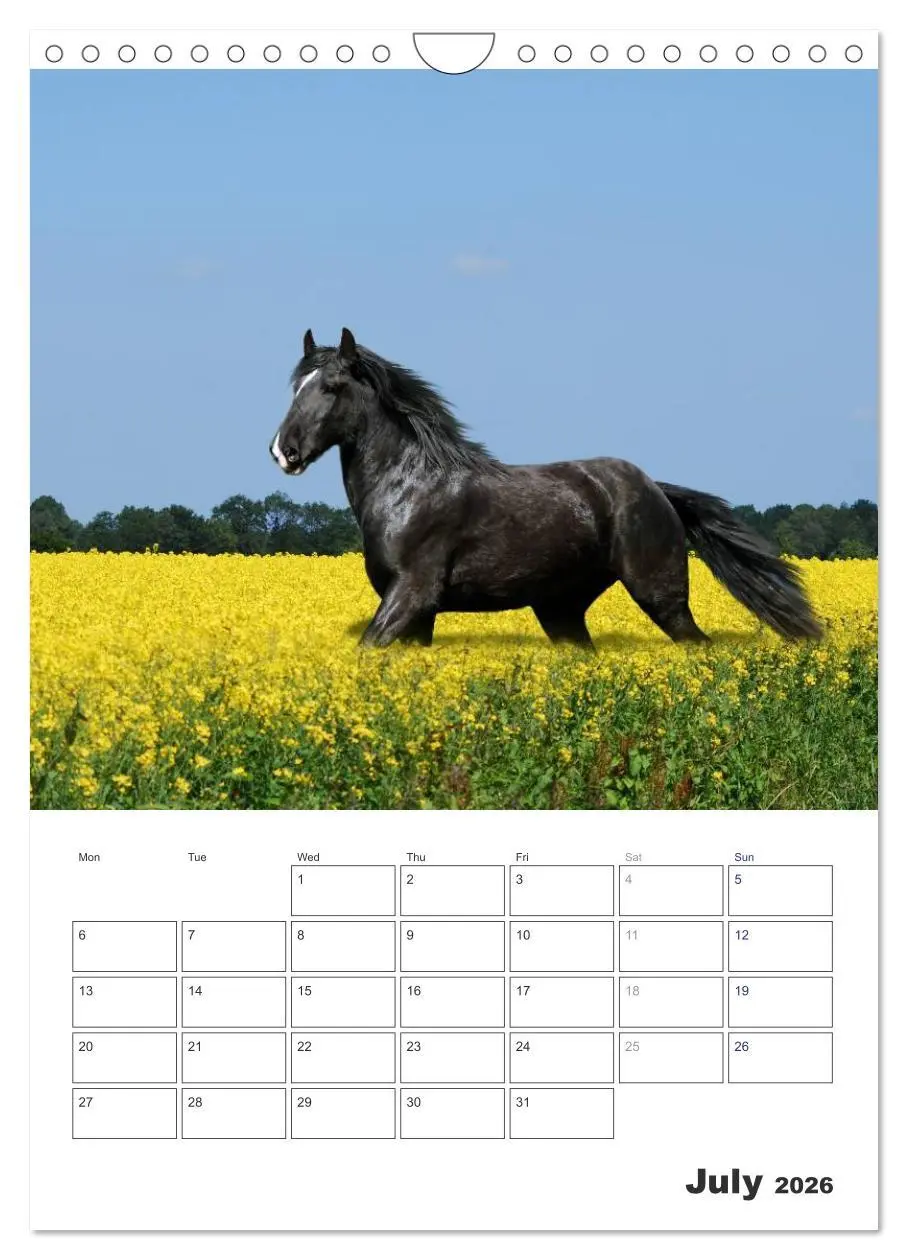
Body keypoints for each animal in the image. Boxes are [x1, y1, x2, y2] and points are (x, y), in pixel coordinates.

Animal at [270, 328, 821, 649]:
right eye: (296, 387)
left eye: (332, 388)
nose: (283, 451)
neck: (408, 489)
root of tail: (657, 490)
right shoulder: (417, 613)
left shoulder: (411, 595)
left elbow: (367, 646)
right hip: (560, 609)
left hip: (660, 594)